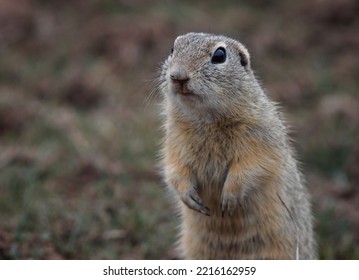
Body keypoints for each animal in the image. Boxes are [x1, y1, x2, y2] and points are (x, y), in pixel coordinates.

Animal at [159, 32, 316, 260]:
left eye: (219, 55)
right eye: (172, 49)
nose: (177, 76)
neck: (206, 119)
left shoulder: (260, 138)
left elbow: (252, 167)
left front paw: (229, 198)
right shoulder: (174, 142)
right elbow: (175, 170)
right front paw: (188, 196)